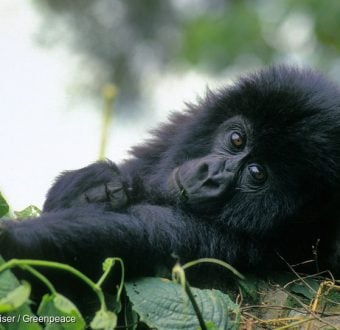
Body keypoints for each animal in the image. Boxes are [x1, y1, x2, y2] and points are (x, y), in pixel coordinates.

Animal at [0, 65, 340, 284]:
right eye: (236, 140)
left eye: (257, 173)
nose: (210, 174)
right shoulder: (173, 132)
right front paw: (94, 183)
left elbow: (133, 234)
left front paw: (13, 242)